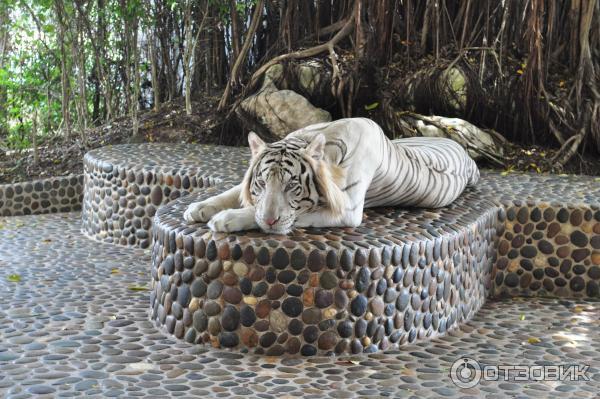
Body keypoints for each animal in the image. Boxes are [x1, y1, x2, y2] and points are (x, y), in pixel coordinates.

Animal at [183, 117, 478, 234]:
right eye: (262, 182)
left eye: (291, 186)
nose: (269, 221)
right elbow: (233, 192)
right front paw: (198, 207)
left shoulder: (346, 209)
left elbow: (290, 215)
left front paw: (226, 219)